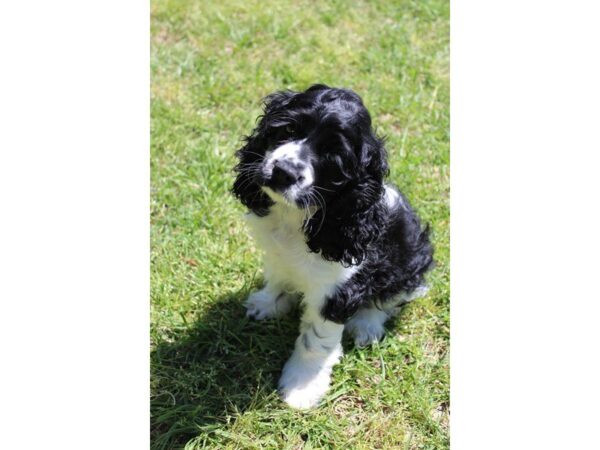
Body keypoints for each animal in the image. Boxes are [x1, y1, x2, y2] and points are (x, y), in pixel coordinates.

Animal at [232, 83, 434, 408]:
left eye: (332, 155)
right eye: (288, 128)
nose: (283, 172)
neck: (294, 218)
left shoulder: (337, 289)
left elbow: (315, 340)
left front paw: (301, 387)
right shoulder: (276, 253)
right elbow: (279, 279)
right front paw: (267, 304)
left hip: (413, 262)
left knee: (392, 298)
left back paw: (367, 325)